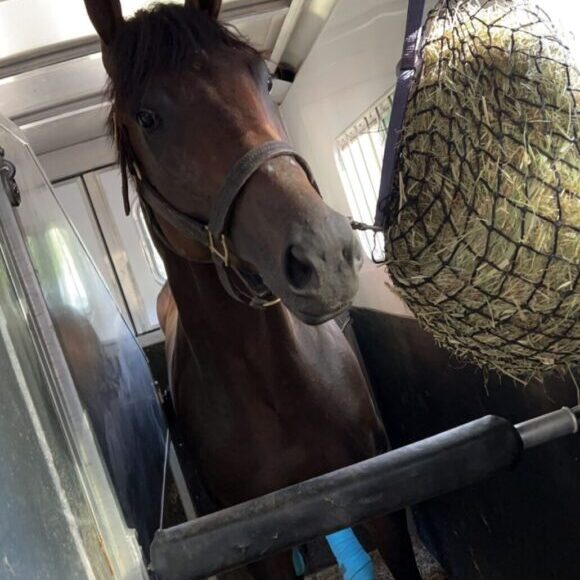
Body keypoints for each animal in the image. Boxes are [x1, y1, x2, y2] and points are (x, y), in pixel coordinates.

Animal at [84, 2, 422, 576]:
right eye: (147, 118)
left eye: (262, 79)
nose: (323, 253)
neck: (277, 384)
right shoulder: (262, 545)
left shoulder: (384, 500)